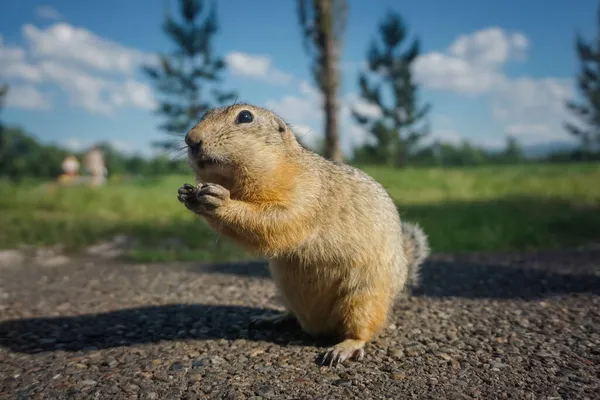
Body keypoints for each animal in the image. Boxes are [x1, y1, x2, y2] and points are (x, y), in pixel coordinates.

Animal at [176, 102, 428, 366]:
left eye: (245, 116)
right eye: (204, 114)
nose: (191, 139)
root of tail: (318, 327)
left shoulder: (306, 194)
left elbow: (277, 221)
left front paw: (220, 201)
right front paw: (187, 194)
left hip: (364, 298)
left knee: (363, 330)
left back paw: (344, 347)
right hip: (286, 292)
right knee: (294, 316)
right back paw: (273, 319)